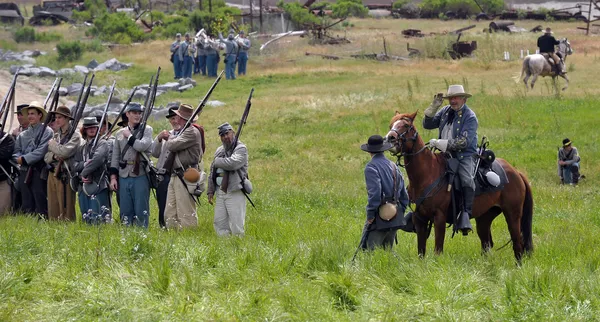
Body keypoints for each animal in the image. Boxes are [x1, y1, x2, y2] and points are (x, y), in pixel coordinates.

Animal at [390, 110, 536, 262]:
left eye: (407, 126)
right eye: (391, 124)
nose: (390, 138)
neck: (427, 175)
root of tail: (516, 172)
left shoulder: (439, 217)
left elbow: (438, 249)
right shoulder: (419, 219)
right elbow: (421, 251)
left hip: (512, 215)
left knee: (517, 243)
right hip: (484, 218)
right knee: (486, 243)